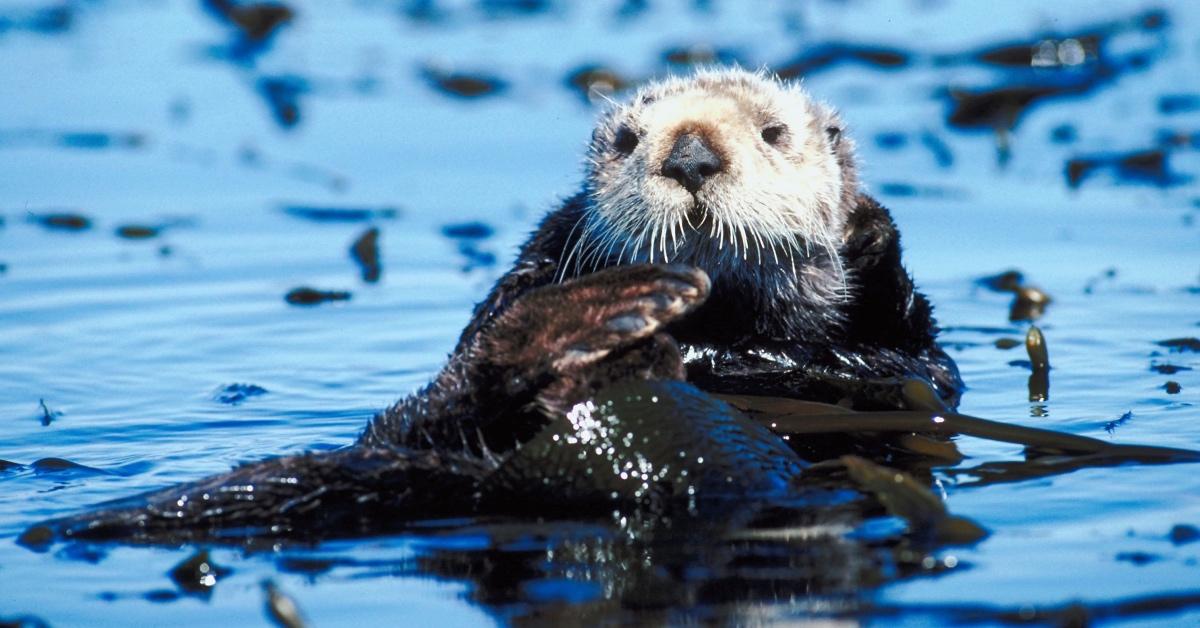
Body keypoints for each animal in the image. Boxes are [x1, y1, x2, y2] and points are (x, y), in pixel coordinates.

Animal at [18, 68, 960, 545]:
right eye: (628, 139)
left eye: (773, 134)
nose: (691, 157)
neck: (721, 321)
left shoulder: (899, 364)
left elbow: (908, 367)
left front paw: (866, 238)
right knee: (473, 378)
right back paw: (611, 319)